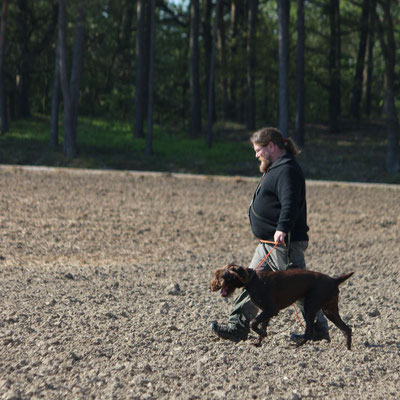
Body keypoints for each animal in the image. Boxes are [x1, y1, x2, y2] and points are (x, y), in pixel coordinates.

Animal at [209, 266, 354, 350]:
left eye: (219, 277)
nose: (211, 286)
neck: (252, 280)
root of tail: (334, 280)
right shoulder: (266, 312)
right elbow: (261, 326)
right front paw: (258, 342)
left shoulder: (271, 310)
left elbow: (253, 323)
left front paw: (262, 335)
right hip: (330, 310)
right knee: (346, 329)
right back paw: (348, 349)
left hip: (310, 307)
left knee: (309, 330)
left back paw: (296, 345)